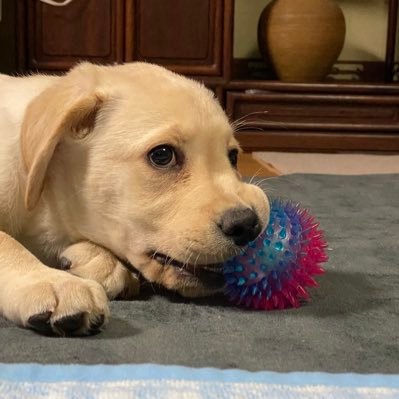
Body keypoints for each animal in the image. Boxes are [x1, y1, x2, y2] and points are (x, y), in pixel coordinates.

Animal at [0, 62, 270, 336]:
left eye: (233, 156)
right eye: (162, 155)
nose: (248, 225)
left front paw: (96, 260)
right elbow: (6, 242)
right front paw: (50, 282)